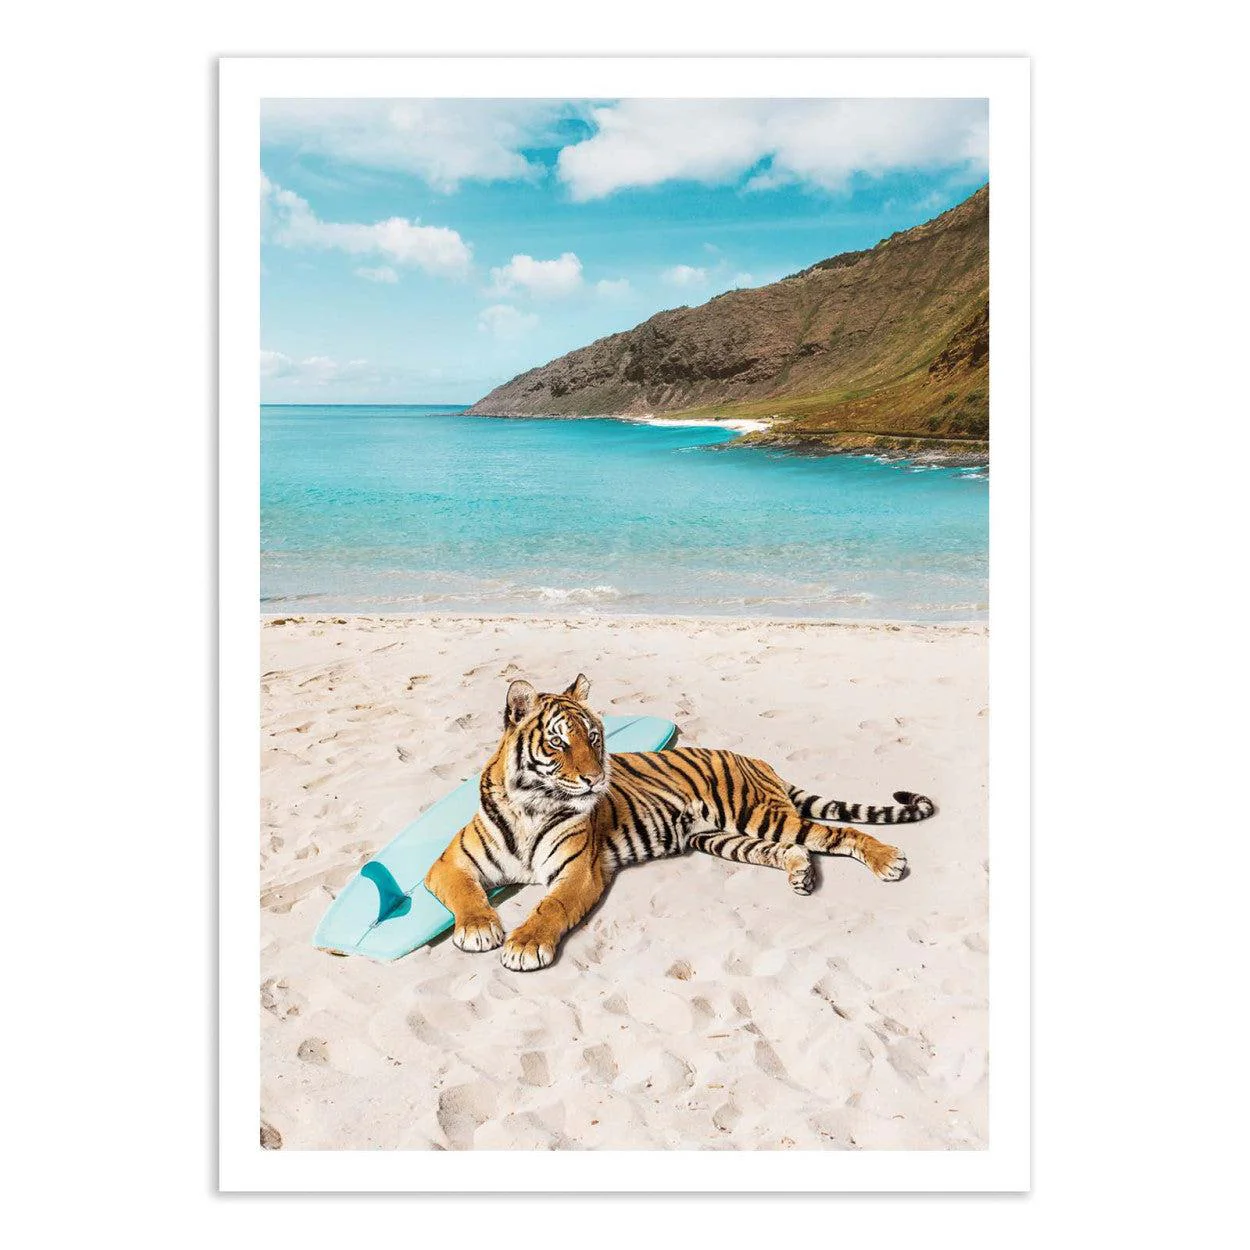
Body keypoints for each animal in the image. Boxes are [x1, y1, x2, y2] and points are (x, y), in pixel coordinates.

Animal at [424, 674, 936, 972]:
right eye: (558, 743)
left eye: (594, 737)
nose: (596, 778)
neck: (532, 805)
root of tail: (758, 760)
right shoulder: (448, 864)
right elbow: (466, 893)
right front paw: (479, 928)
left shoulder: (577, 872)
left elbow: (550, 907)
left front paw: (525, 945)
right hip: (721, 838)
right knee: (794, 849)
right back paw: (801, 875)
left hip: (758, 814)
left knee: (838, 833)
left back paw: (887, 860)